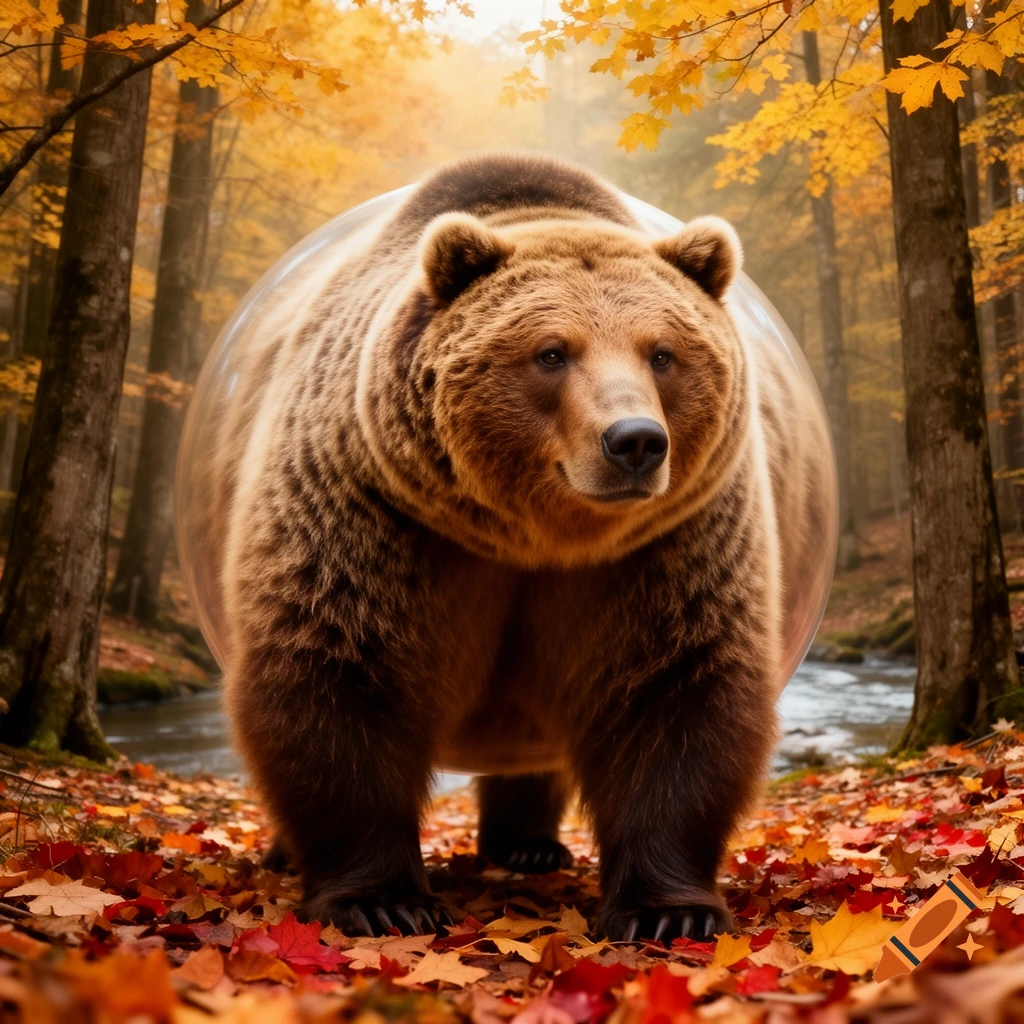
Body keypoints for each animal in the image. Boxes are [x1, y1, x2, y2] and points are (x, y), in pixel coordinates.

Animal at [200, 152, 835, 943]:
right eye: (552, 352)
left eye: (662, 353)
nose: (634, 441)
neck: (534, 536)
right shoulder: (373, 513)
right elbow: (338, 669)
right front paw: (381, 899)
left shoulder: (664, 547)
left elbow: (674, 688)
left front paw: (669, 911)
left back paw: (529, 845)